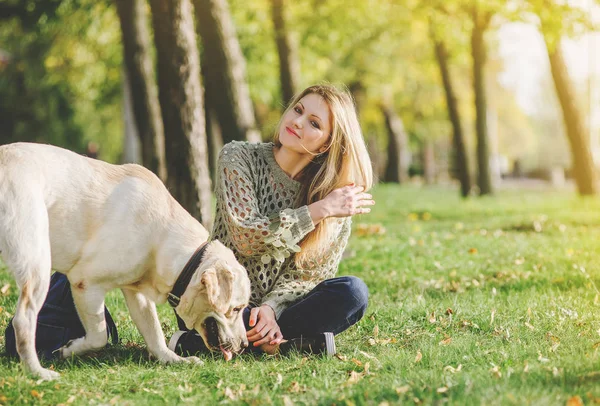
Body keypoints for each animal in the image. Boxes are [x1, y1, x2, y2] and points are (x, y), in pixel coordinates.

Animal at [0, 141, 251, 380]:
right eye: (237, 309)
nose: (245, 345)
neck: (161, 239)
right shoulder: (86, 284)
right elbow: (100, 335)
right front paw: (69, 349)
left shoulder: (137, 294)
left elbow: (154, 333)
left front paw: (173, 360)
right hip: (38, 263)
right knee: (23, 320)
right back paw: (37, 372)